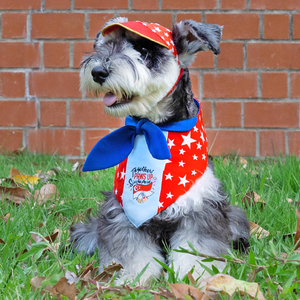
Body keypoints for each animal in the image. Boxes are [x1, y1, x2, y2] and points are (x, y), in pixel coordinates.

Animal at [70, 16, 248, 284]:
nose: (98, 71)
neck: (152, 128)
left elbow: (197, 249)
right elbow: (131, 251)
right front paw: (132, 277)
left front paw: (198, 277)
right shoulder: (121, 212)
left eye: (144, 51)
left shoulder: (200, 210)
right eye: (109, 45)